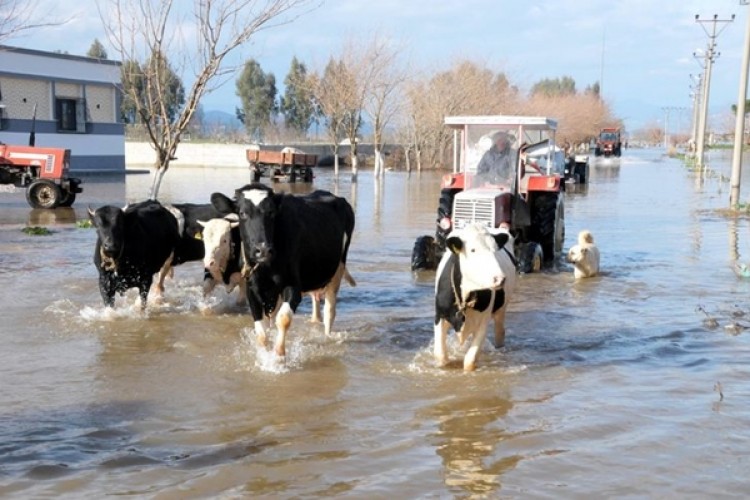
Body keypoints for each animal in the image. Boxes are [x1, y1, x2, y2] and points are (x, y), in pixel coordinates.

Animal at [213, 182, 356, 358]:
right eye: (242, 213)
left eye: (271, 212)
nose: (263, 249)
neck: (267, 267)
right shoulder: (252, 288)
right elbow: (261, 331)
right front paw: (264, 354)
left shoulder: (293, 286)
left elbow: (283, 319)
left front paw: (278, 355)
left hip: (337, 269)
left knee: (330, 312)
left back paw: (327, 337)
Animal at [434, 223, 516, 372]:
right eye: (472, 250)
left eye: (495, 249)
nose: (500, 279)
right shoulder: (440, 316)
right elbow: (441, 355)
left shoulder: (483, 322)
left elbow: (469, 361)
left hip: (501, 310)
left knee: (500, 332)